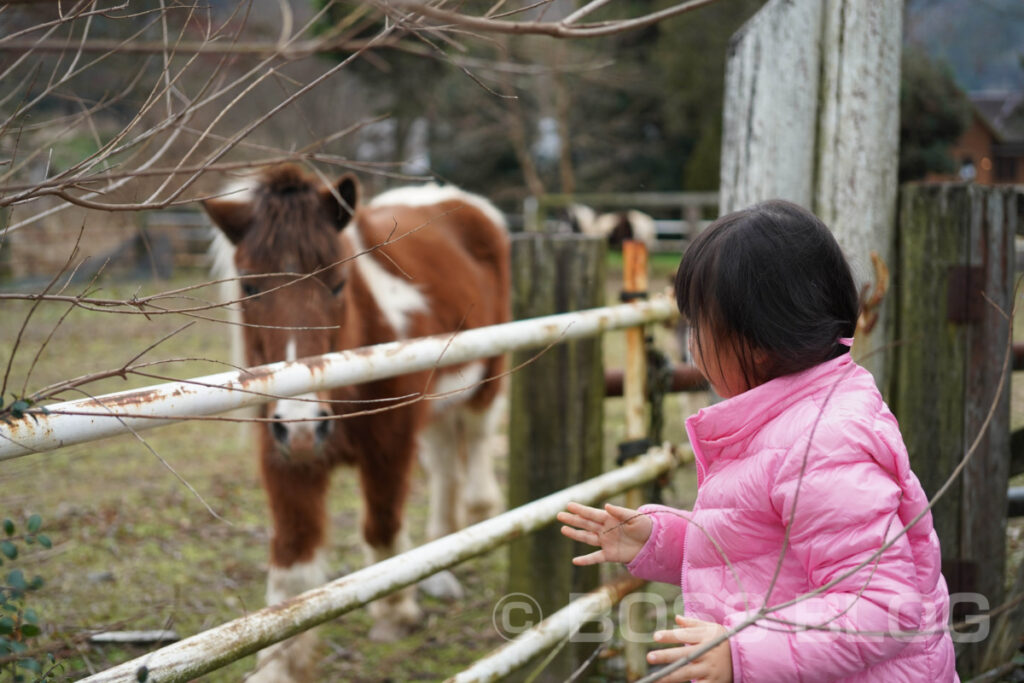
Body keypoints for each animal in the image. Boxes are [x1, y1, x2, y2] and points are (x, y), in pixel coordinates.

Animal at [203, 163, 512, 679]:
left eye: (337, 283)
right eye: (249, 287)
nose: (303, 424)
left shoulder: (390, 444)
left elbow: (382, 529)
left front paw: (395, 613)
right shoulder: (285, 459)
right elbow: (294, 567)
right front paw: (278, 665)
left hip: (485, 383)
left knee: (474, 453)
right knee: (445, 468)